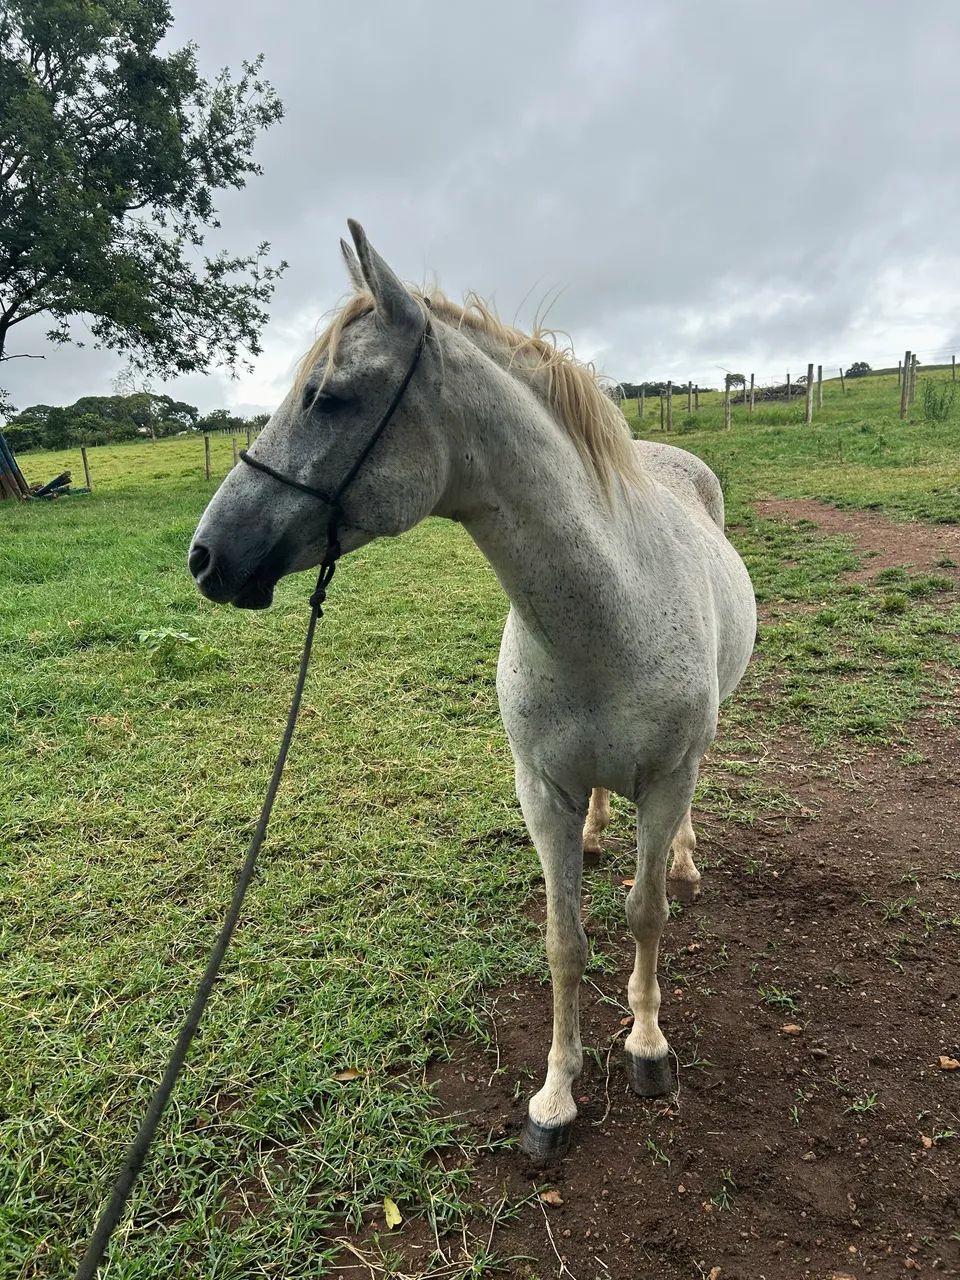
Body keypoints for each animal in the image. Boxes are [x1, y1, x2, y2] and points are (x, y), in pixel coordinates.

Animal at [189, 221, 757, 1160]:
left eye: (328, 397)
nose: (206, 558)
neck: (611, 612)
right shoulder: (541, 789)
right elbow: (565, 943)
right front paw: (556, 1096)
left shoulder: (666, 778)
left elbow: (644, 915)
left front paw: (647, 1046)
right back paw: (598, 836)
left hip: (691, 762)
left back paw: (682, 857)